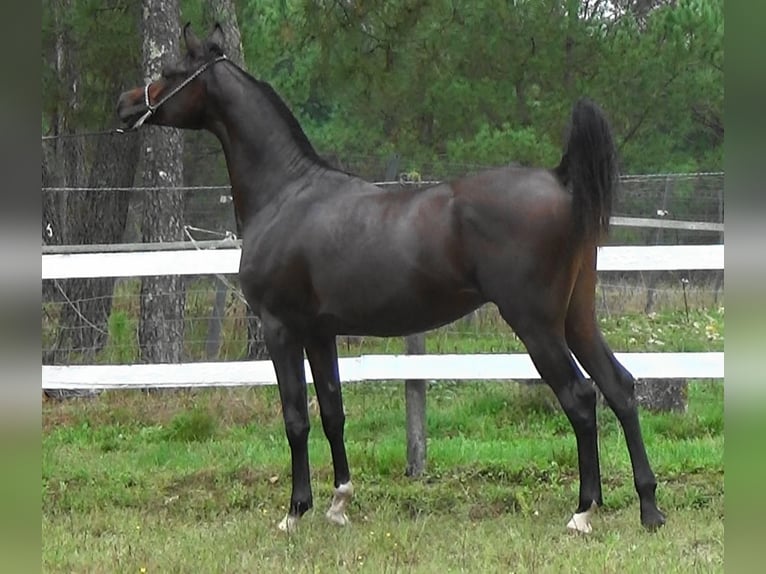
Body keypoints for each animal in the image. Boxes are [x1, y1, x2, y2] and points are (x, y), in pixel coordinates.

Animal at [118, 22, 664, 536]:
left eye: (169, 70)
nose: (124, 105)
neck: (287, 193)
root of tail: (559, 178)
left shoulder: (280, 328)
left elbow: (296, 417)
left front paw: (296, 511)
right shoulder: (319, 333)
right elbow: (332, 411)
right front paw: (339, 504)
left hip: (537, 325)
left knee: (581, 398)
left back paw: (584, 511)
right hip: (577, 317)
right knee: (619, 387)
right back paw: (649, 509)